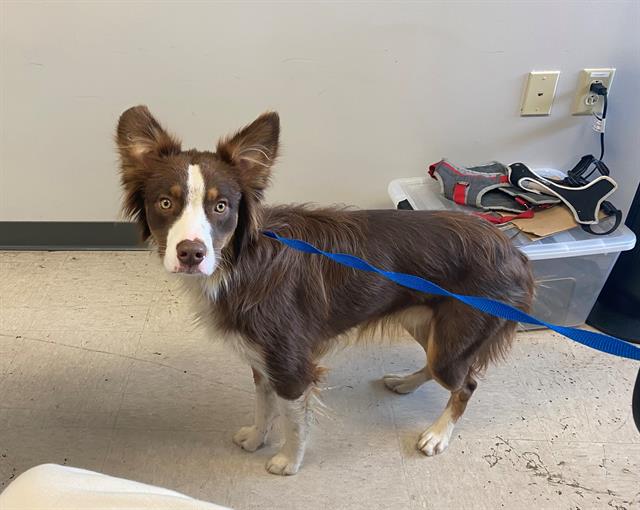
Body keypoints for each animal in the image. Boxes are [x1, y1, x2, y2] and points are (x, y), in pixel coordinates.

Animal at [116, 105, 536, 476]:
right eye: (165, 203)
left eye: (221, 206)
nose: (191, 254)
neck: (242, 262)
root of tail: (513, 250)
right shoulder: (261, 357)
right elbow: (263, 406)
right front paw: (256, 438)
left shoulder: (291, 363)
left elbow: (294, 421)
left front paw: (288, 462)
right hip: (425, 322)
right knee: (438, 369)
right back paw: (404, 383)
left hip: (455, 337)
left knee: (465, 383)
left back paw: (436, 435)